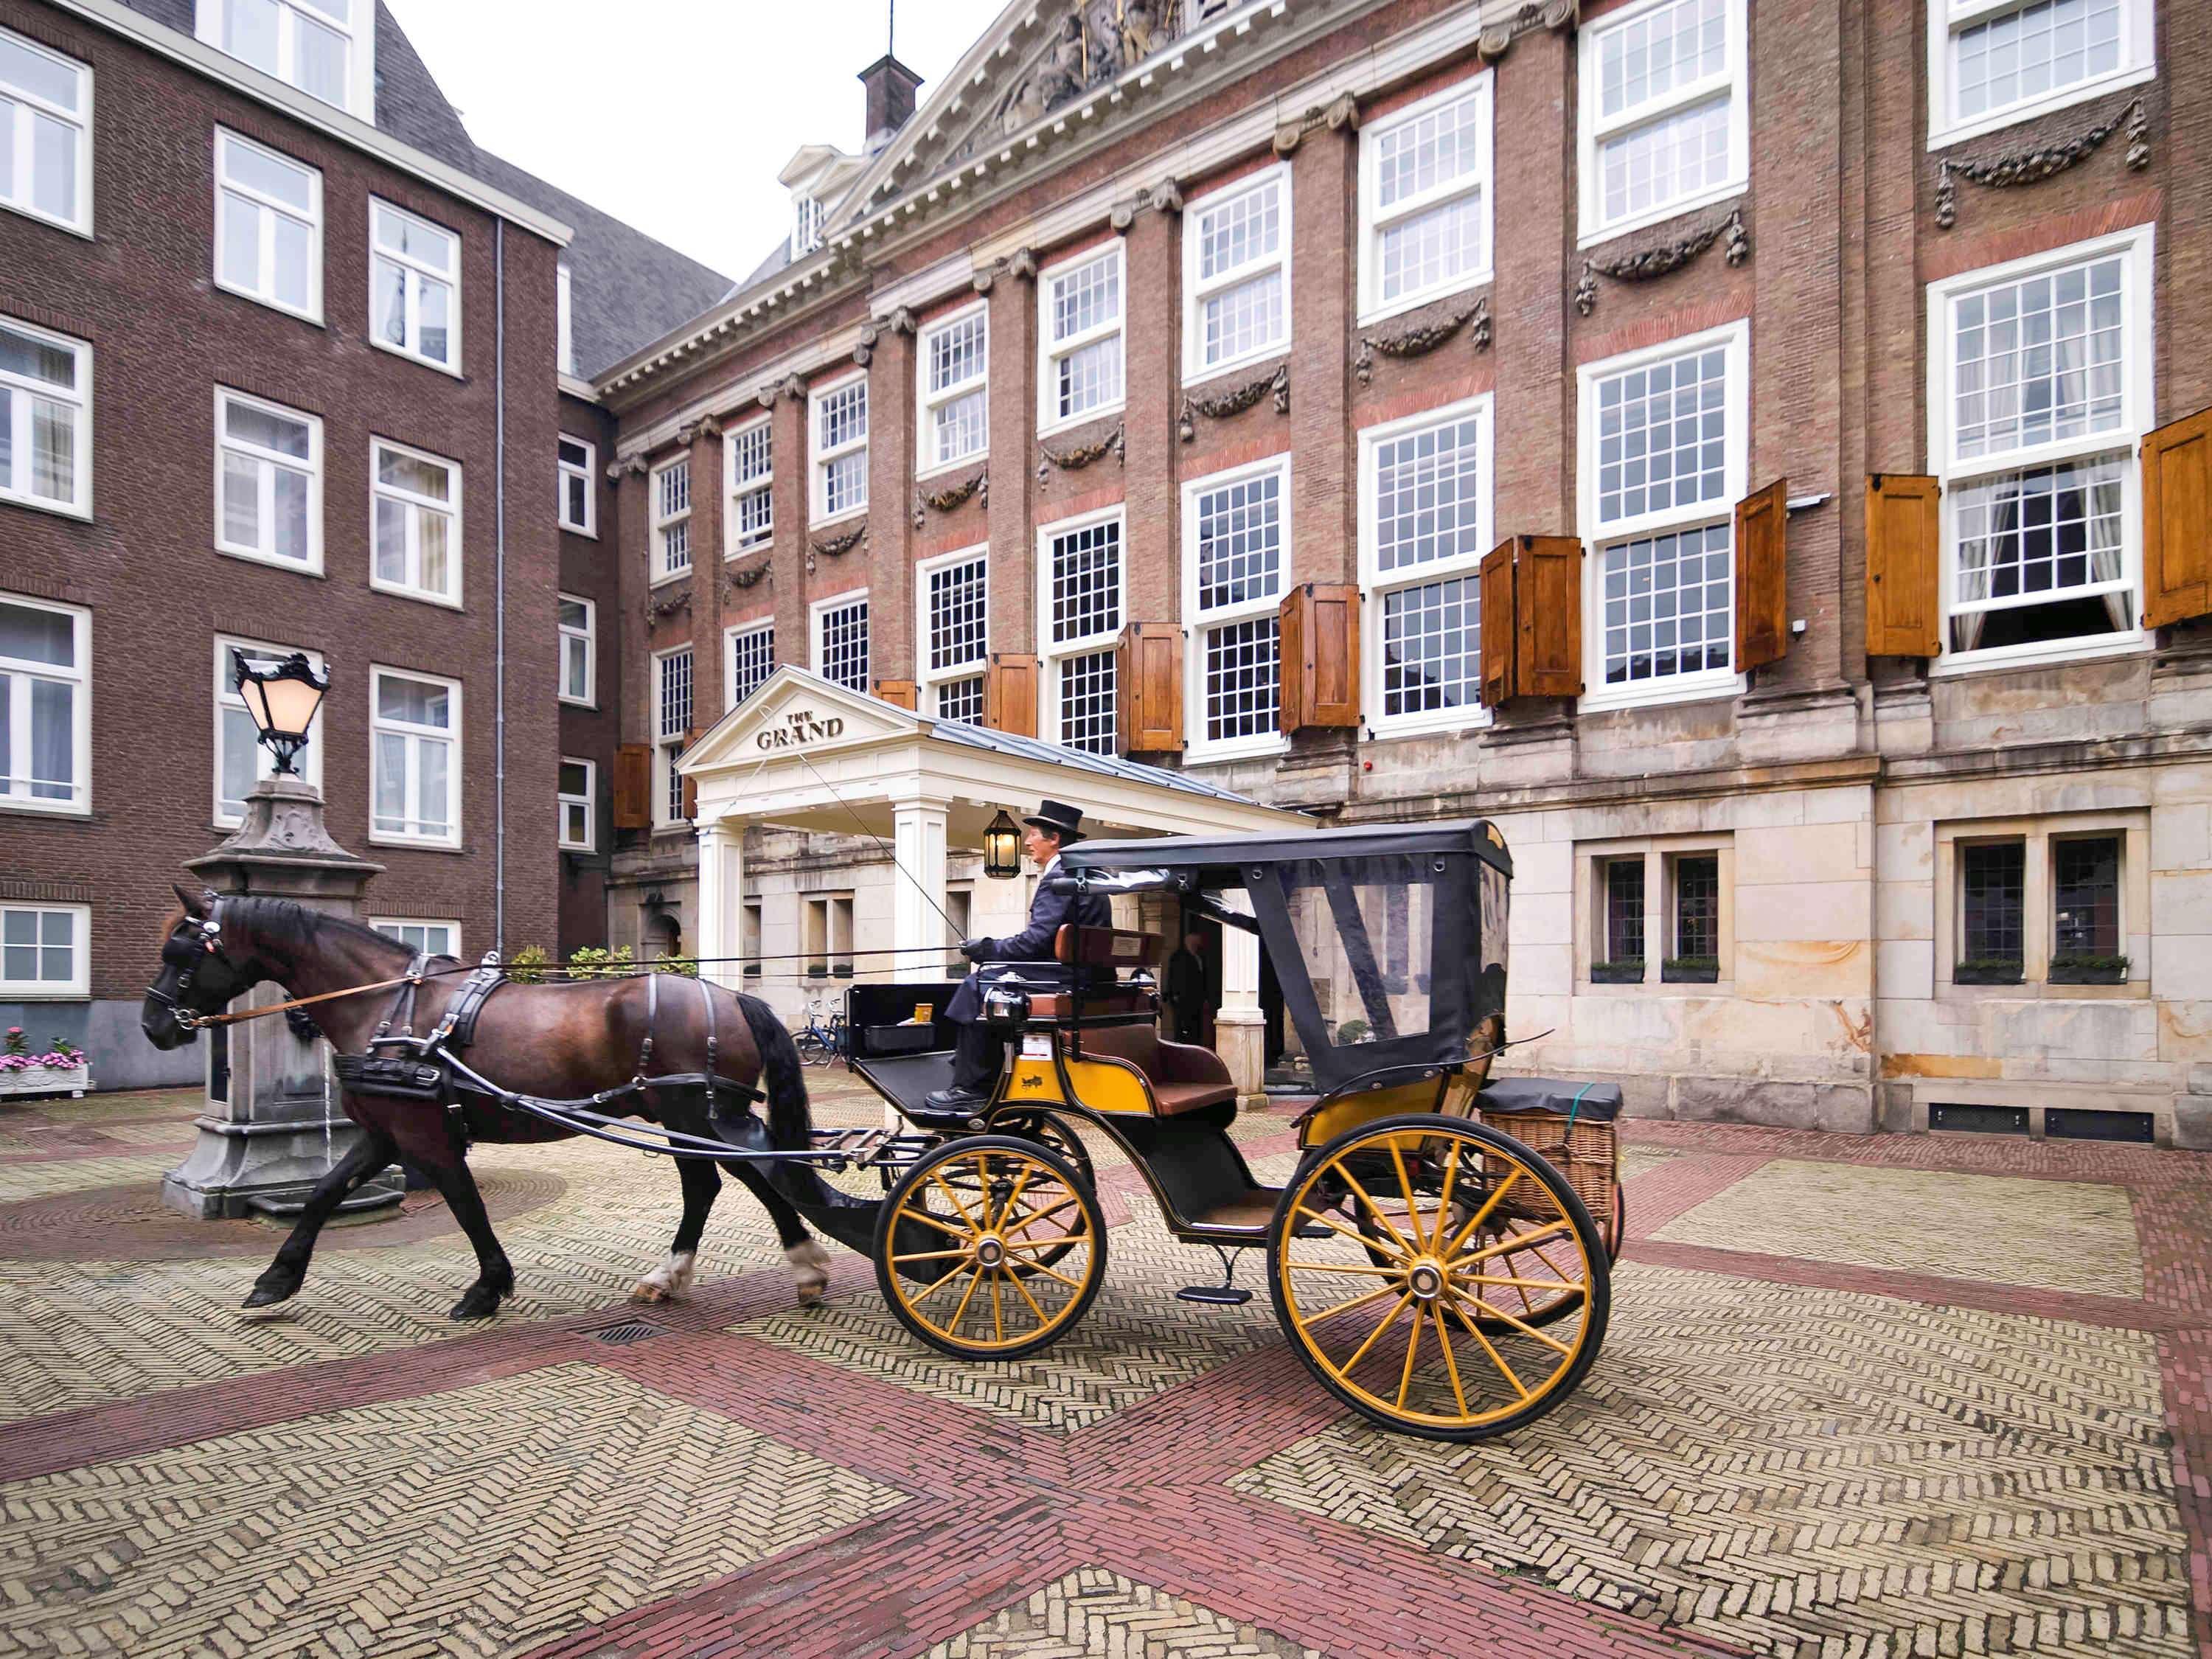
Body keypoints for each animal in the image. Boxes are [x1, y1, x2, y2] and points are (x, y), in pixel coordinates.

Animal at [138, 889, 832, 1336]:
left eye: (181, 953)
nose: (152, 1027)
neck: (384, 1005)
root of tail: (733, 996)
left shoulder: (425, 1136)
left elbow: (467, 1208)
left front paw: (487, 1288)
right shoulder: (384, 1134)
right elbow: (322, 1193)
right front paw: (277, 1280)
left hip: (700, 1118)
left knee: (755, 1176)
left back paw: (805, 1267)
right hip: (683, 1123)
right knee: (708, 1186)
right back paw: (674, 1275)